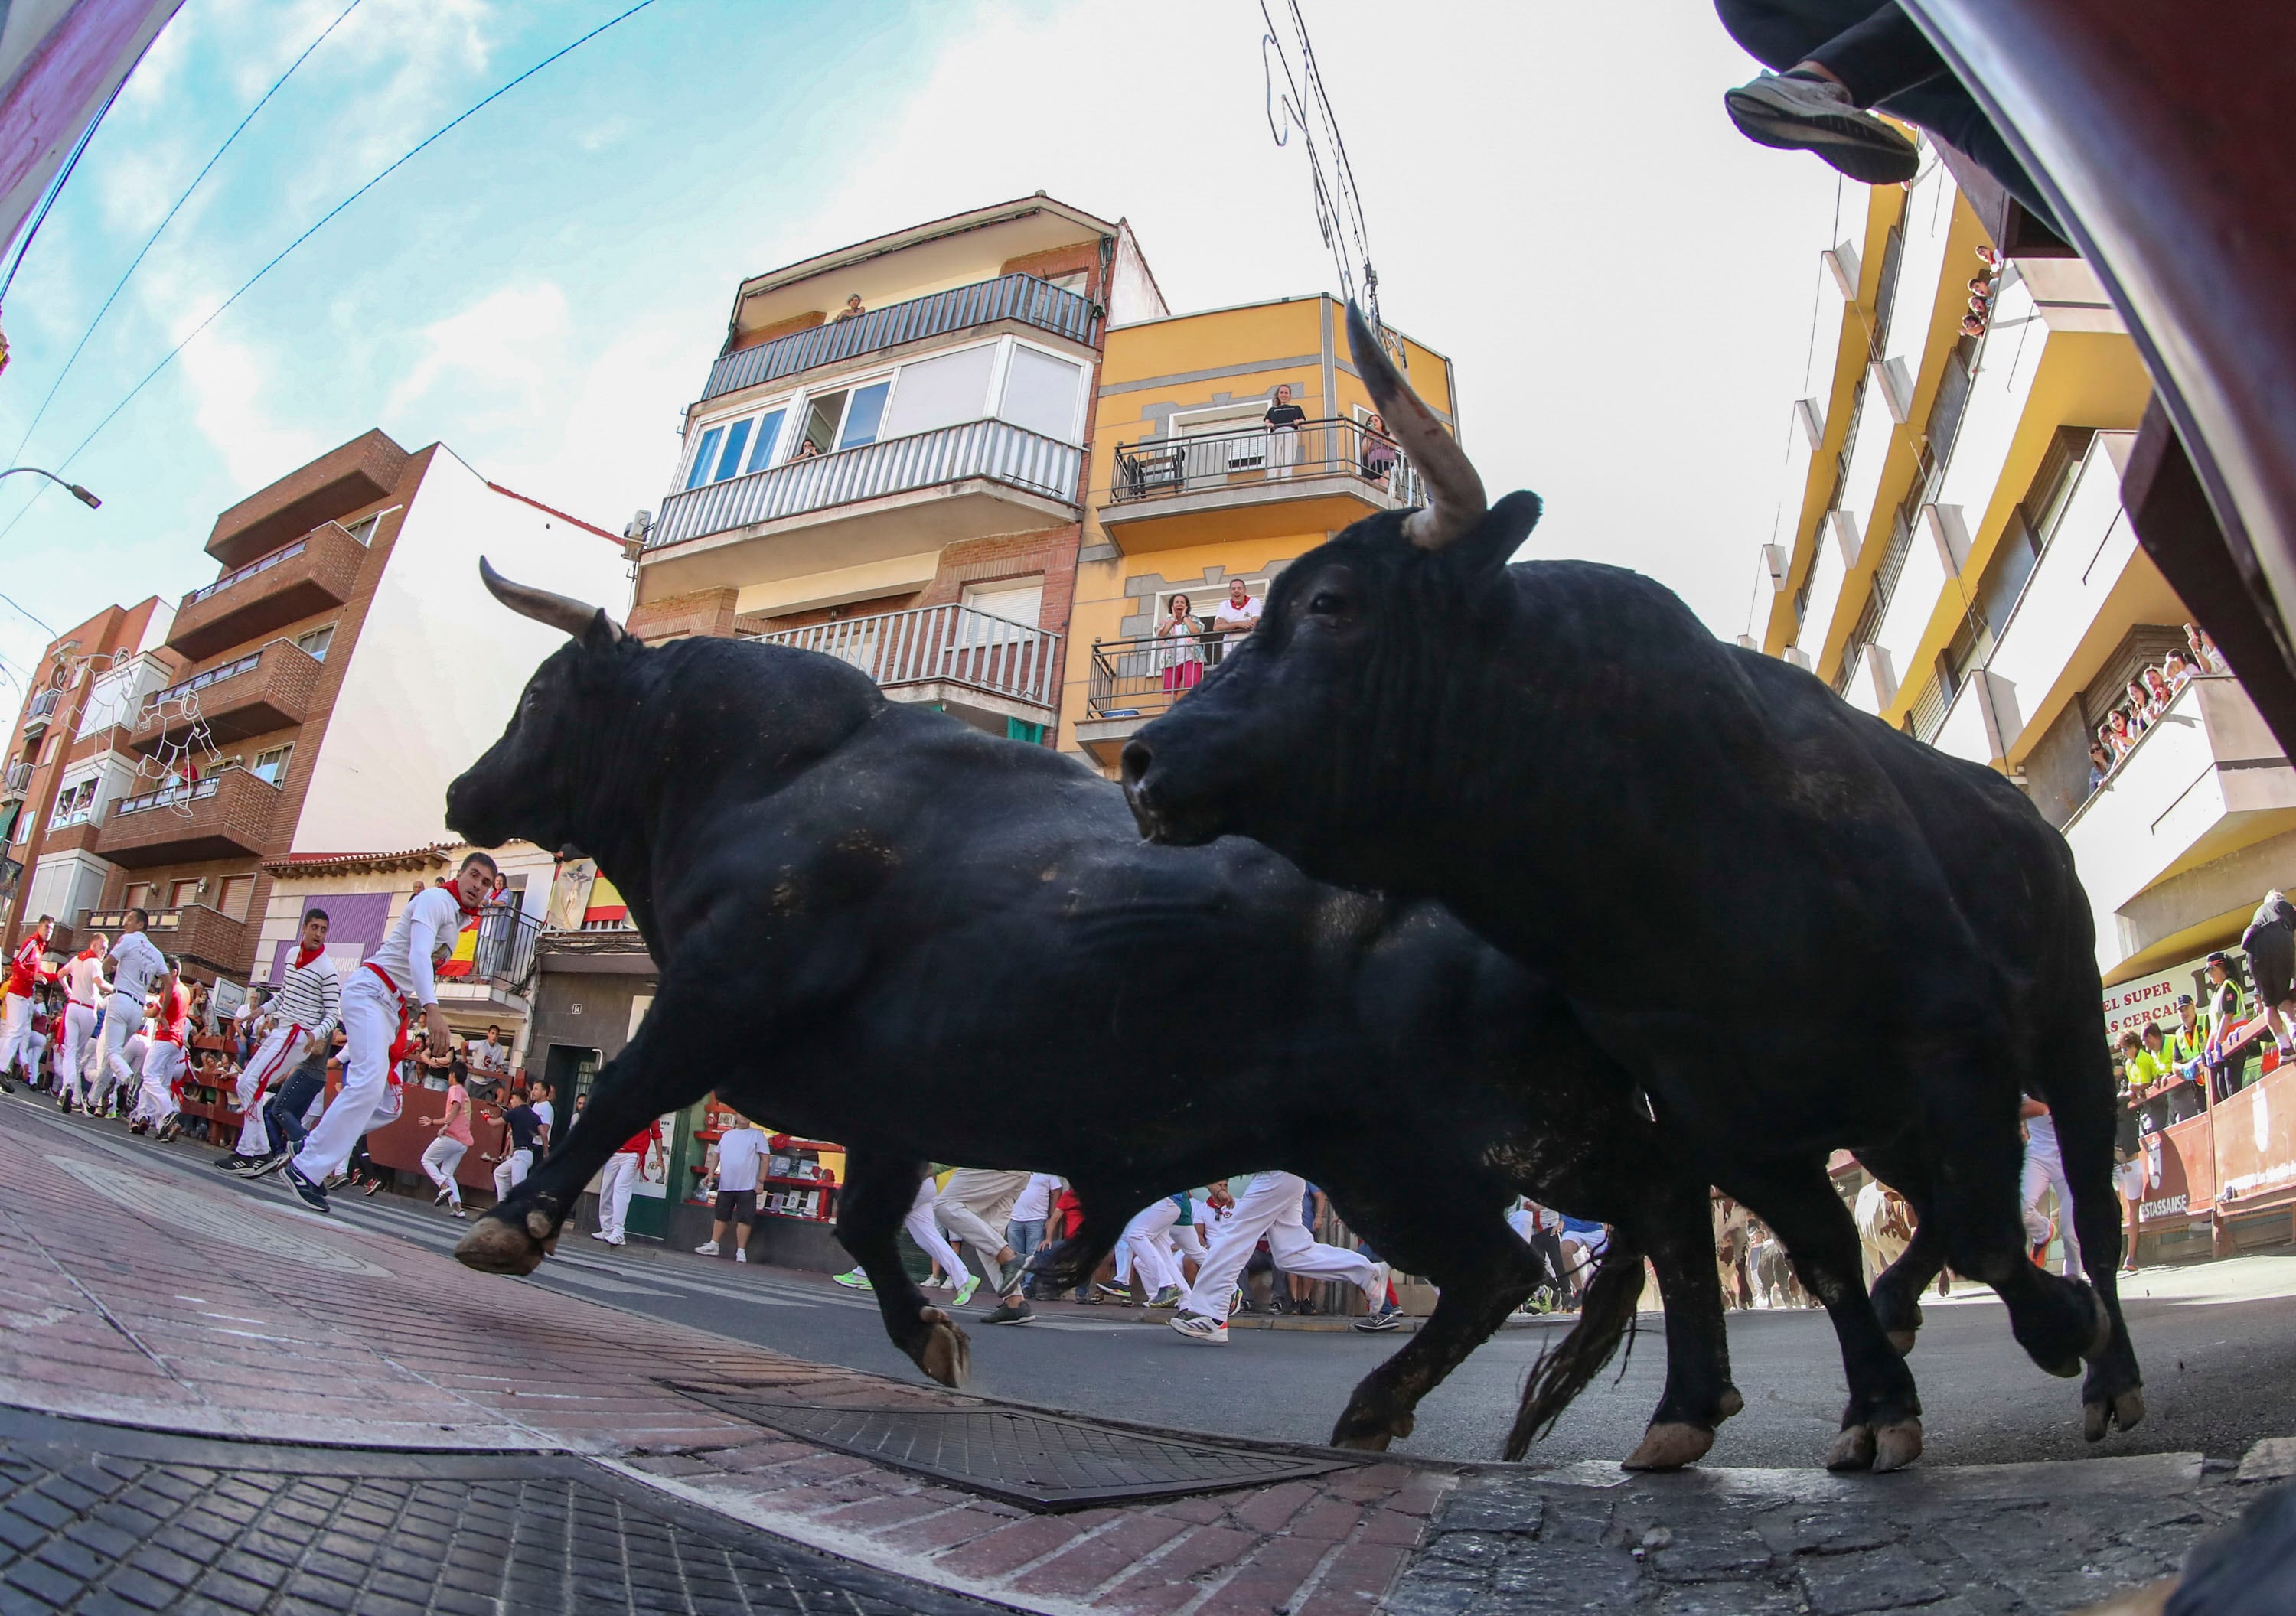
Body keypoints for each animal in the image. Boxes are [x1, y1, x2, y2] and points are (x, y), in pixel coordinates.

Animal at [443, 565, 1736, 1469]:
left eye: (542, 696)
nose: (462, 793)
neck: (770, 776)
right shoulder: (889, 1100)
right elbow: (862, 1220)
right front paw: (936, 1334)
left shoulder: (718, 995)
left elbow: (617, 1094)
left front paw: (511, 1225)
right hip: (1385, 1158)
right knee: (1501, 1268)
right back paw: (1383, 1406)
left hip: (1507, 1123)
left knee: (1652, 1208)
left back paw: (1682, 1413)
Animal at [1120, 301, 2140, 1469]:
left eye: (1331, 603)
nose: (1142, 762)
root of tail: (2024, 814)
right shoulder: (1731, 1117)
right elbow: (1833, 1250)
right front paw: (1875, 1402)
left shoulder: (1953, 1044)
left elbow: (1986, 1229)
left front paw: (2059, 1326)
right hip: (1883, 1118)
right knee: (1916, 1213)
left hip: (2071, 1035)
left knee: (2090, 1211)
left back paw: (2110, 1372)